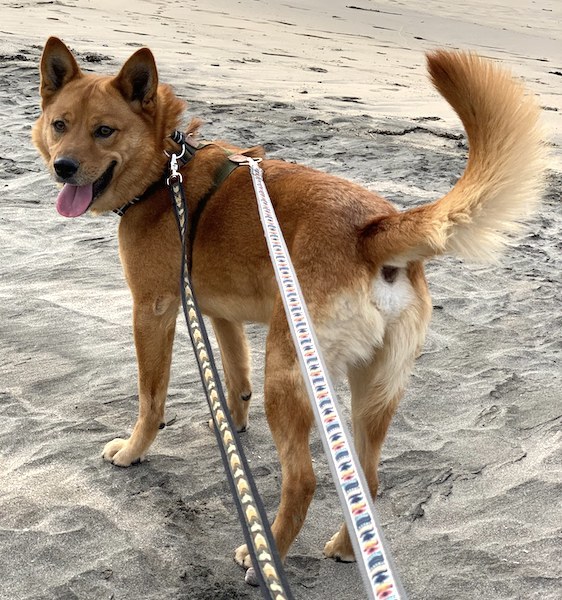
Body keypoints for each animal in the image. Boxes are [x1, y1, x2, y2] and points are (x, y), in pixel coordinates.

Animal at [33, 37, 546, 574]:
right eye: (60, 125)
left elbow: (150, 401)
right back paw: (347, 547)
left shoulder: (152, 313)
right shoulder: (222, 316)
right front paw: (232, 426)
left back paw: (269, 550)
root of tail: (373, 230)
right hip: (372, 390)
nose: (63, 167)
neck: (166, 170)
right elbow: (234, 378)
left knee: (303, 480)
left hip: (287, 370)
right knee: (367, 480)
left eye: (104, 131)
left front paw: (133, 450)